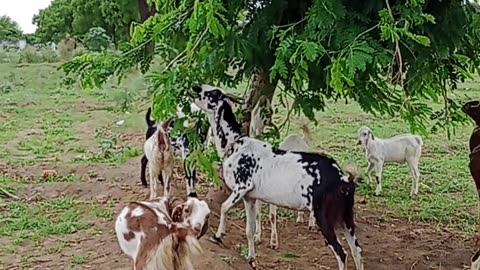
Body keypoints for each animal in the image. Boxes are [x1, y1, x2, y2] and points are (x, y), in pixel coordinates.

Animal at [190, 85, 364, 270]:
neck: (236, 143)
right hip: (346, 218)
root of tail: (344, 180)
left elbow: (223, 207)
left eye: (212, 93)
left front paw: (218, 235)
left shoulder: (241, 187)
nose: (196, 87)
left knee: (341, 253)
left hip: (324, 218)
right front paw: (251, 258)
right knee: (357, 251)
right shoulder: (249, 197)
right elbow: (249, 230)